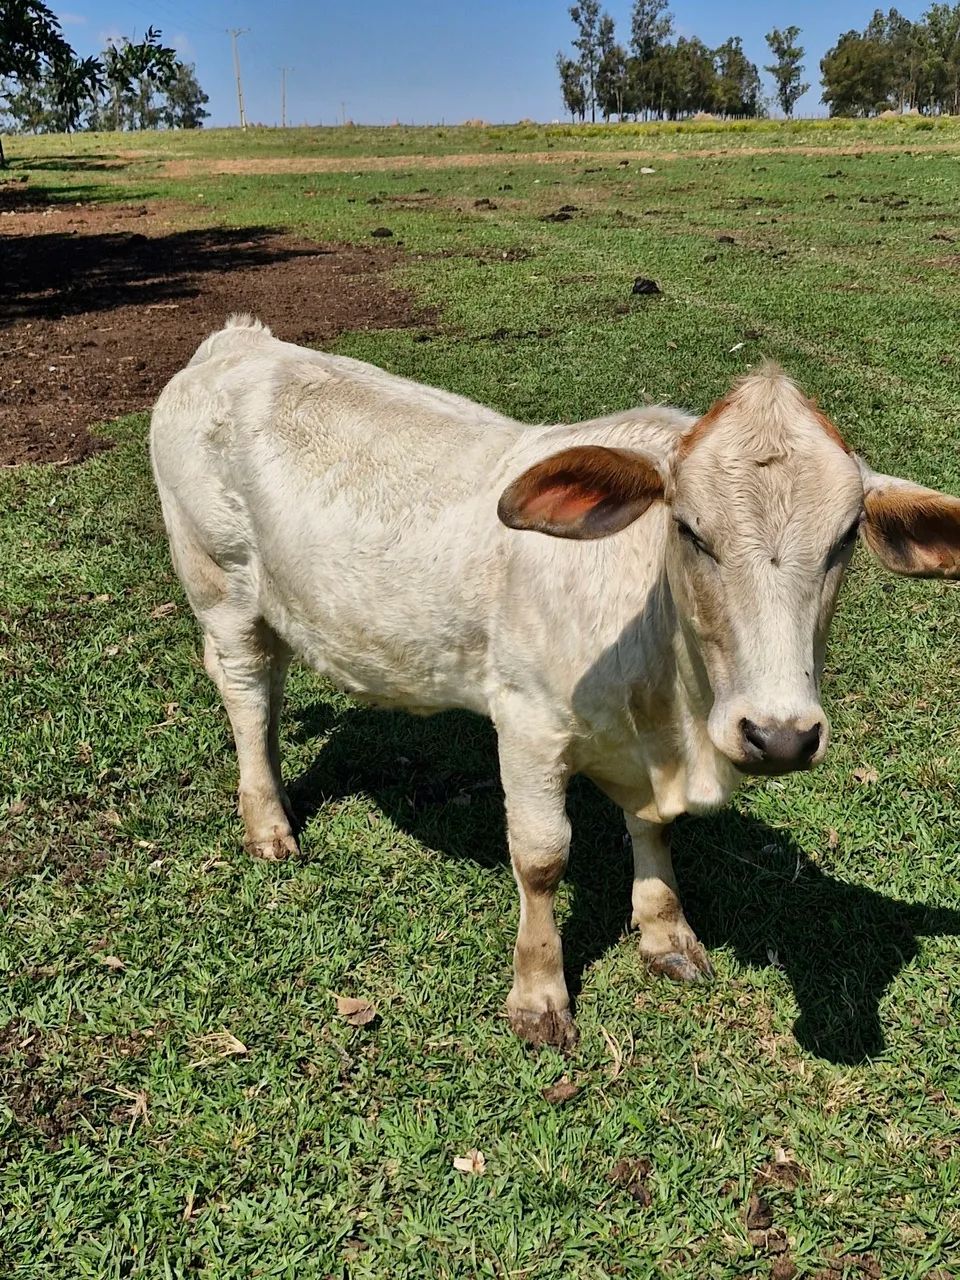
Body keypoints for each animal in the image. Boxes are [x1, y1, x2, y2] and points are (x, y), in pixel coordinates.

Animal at [150, 316, 960, 1050]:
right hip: (219, 585)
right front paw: (538, 996)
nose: (781, 734)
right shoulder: (528, 724)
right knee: (246, 692)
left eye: (845, 539)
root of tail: (239, 340)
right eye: (691, 530)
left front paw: (666, 932)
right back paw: (268, 824)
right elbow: (542, 858)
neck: (674, 717)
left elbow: (653, 831)